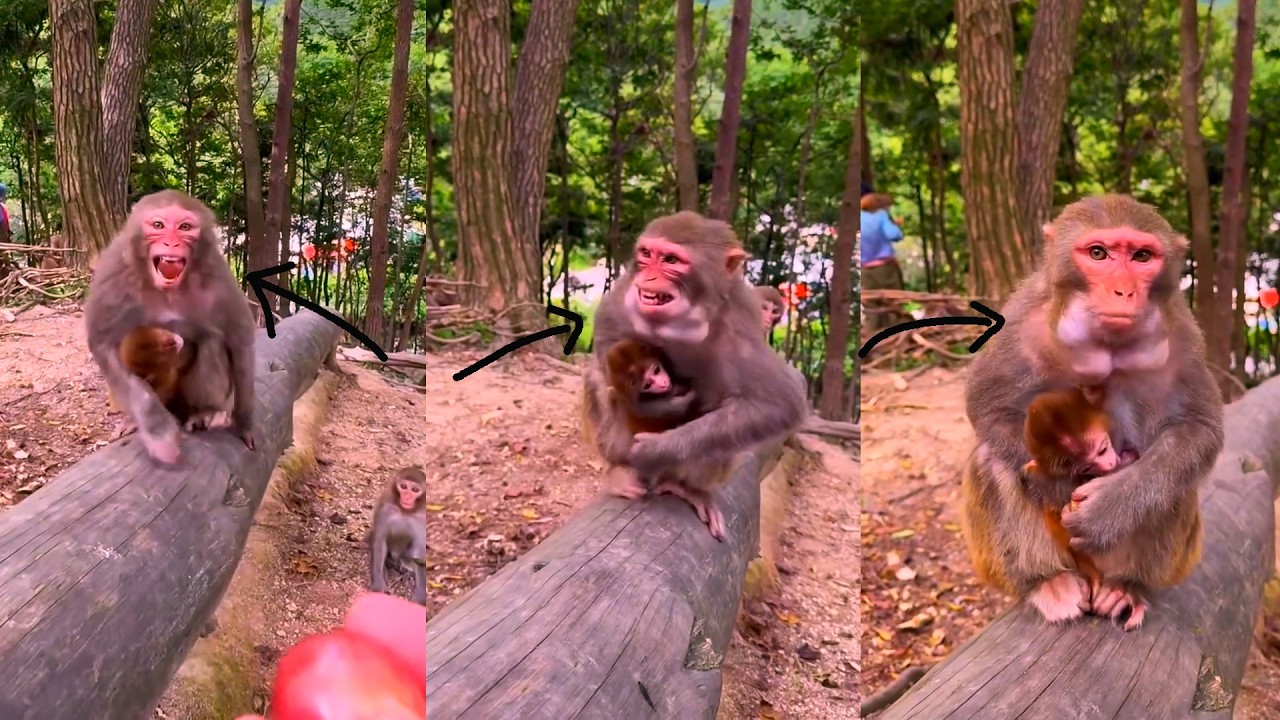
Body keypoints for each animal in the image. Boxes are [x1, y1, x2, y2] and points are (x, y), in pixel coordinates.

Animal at [84, 189, 257, 465]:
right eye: (158, 225)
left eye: (185, 227)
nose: (172, 244)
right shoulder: (114, 267)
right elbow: (103, 344)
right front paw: (159, 433)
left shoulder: (218, 273)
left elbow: (239, 339)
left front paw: (244, 423)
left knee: (211, 340)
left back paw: (204, 412)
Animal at [368, 466, 427, 605]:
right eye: (403, 486)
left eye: (415, 490)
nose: (407, 497)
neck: (405, 511)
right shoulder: (386, 507)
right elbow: (380, 539)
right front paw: (379, 584)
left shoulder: (422, 517)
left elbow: (420, 548)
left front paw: (421, 596)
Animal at [582, 211, 809, 541]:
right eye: (646, 254)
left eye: (671, 260)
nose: (647, 278)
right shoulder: (623, 295)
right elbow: (608, 359)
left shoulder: (742, 324)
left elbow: (778, 404)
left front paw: (654, 449)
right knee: (597, 379)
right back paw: (620, 470)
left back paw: (687, 487)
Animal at [960, 194, 1218, 630]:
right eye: (1098, 253)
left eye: (1142, 256)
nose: (1122, 291)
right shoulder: (1023, 318)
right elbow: (988, 404)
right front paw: (1058, 484)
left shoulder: (1183, 332)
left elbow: (1198, 430)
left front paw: (1112, 507)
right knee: (990, 460)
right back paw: (1047, 583)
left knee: (1176, 484)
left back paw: (1127, 586)